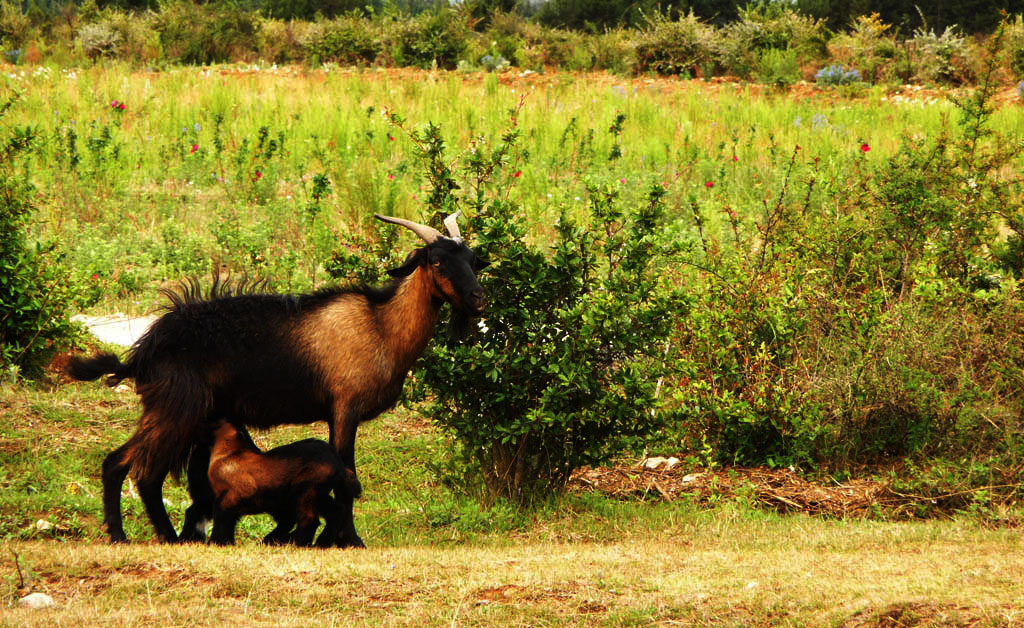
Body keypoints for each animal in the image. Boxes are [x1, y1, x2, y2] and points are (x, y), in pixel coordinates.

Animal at [205, 422, 350, 549]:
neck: (228, 453)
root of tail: (338, 462)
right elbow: (228, 525)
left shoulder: (231, 498)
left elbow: (221, 522)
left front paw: (216, 543)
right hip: (317, 495)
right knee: (337, 510)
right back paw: (320, 543)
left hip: (304, 492)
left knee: (310, 519)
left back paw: (296, 544)